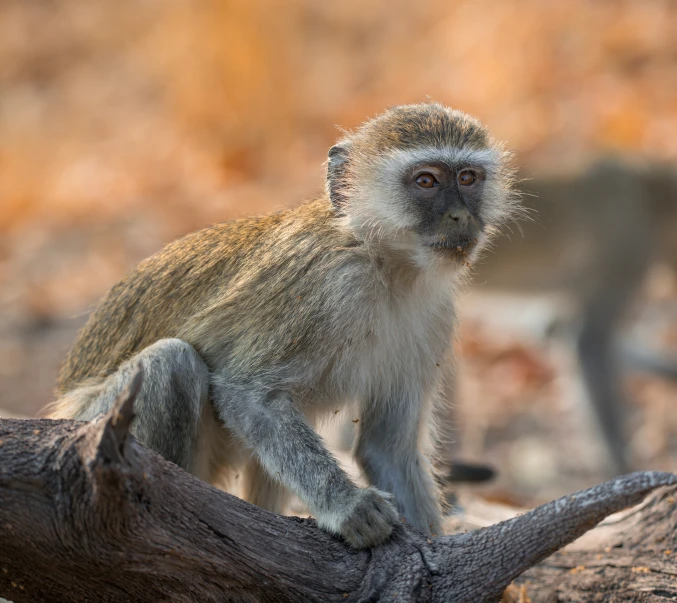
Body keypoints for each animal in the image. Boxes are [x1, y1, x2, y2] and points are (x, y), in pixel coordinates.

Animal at [43, 102, 516, 548]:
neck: (385, 263)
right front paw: (349, 507)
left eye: (468, 178)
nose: (460, 217)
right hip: (89, 428)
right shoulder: (323, 287)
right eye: (426, 182)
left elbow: (387, 450)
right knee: (171, 363)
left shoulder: (435, 316)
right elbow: (250, 396)